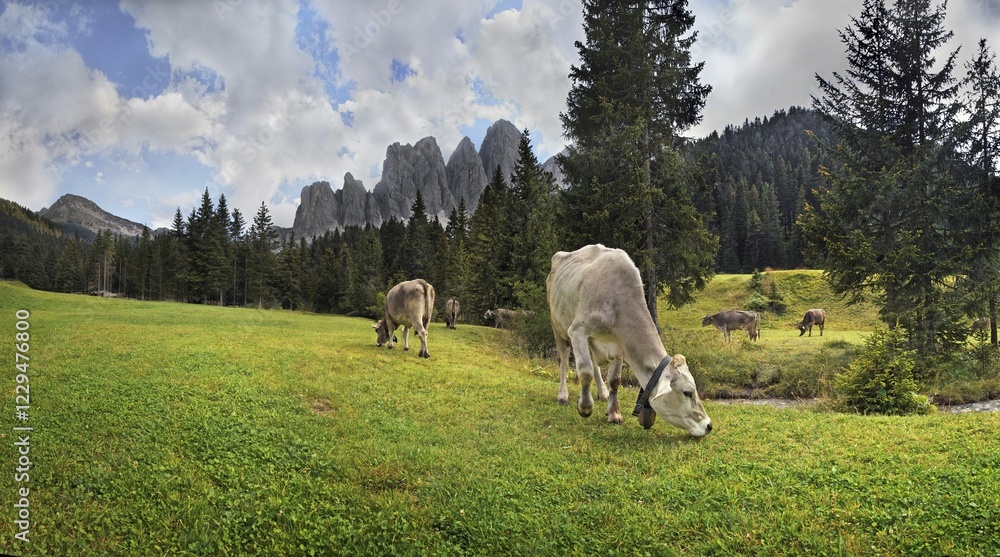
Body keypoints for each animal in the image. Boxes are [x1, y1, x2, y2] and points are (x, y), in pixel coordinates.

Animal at [547, 244, 712, 437]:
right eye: (687, 393)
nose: (709, 425)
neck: (617, 301)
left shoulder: (619, 345)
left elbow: (614, 380)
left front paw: (614, 413)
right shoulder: (578, 330)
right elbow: (585, 371)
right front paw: (585, 407)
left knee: (595, 364)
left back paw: (603, 392)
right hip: (557, 325)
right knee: (564, 360)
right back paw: (563, 395)